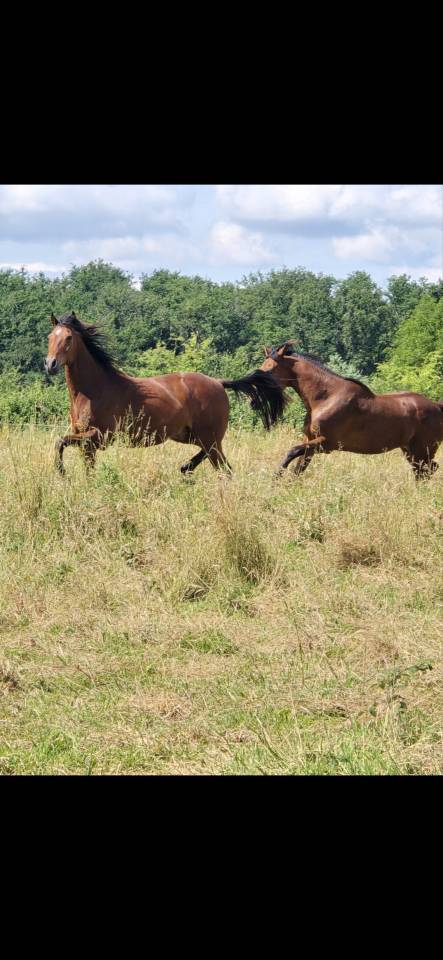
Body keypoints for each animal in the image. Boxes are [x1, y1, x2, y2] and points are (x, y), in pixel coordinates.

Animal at [44, 313, 287, 476]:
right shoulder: (88, 445)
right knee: (208, 456)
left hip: (209, 438)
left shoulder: (100, 437)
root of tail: (218, 383)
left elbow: (59, 441)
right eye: (49, 337)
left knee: (224, 469)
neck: (94, 392)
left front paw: (61, 472)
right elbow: (84, 466)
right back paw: (186, 467)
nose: (50, 364)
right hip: (189, 435)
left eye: (68, 338)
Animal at [261, 341, 443, 479]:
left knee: (427, 470)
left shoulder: (326, 443)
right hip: (410, 450)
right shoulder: (309, 440)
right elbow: (298, 469)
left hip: (423, 449)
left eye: (269, 369)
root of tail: (437, 406)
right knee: (424, 471)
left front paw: (276, 477)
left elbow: (292, 451)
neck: (326, 397)